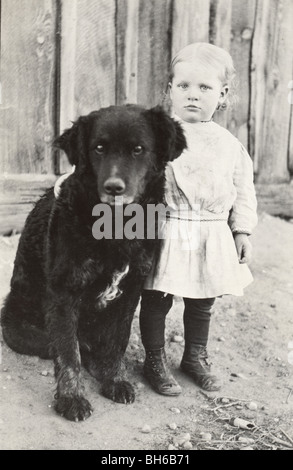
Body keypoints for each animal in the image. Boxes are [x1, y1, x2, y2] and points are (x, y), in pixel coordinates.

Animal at [1, 104, 185, 420]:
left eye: (138, 149)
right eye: (99, 148)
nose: (114, 187)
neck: (115, 227)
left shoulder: (131, 290)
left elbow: (117, 340)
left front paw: (114, 379)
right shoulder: (64, 291)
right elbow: (68, 353)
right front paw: (72, 399)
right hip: (23, 330)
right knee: (71, 346)